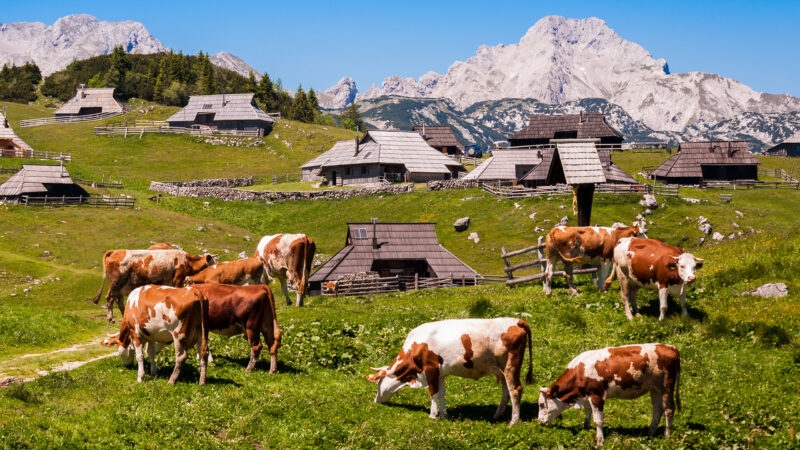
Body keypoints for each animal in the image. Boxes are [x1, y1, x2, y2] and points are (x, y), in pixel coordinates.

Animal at [365, 317, 533, 426]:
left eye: (378, 382)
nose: (375, 400)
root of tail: (515, 320)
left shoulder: (430, 368)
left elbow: (433, 392)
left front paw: (433, 415)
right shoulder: (440, 373)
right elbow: (441, 393)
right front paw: (443, 415)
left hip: (510, 366)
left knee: (515, 390)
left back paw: (514, 421)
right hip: (502, 370)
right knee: (506, 392)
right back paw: (497, 415)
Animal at [538, 343, 681, 446]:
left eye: (541, 405)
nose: (539, 422)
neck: (580, 371)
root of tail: (670, 347)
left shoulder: (597, 396)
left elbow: (598, 420)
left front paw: (600, 441)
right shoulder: (587, 395)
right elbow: (587, 412)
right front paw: (586, 428)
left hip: (666, 387)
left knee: (668, 409)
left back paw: (667, 436)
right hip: (655, 389)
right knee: (657, 409)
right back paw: (650, 434)